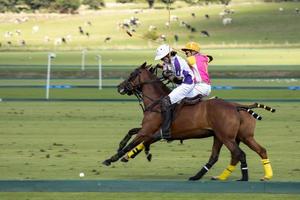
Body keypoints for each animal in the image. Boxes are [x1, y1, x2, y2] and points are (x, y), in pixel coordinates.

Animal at [102, 62, 274, 181]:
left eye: (132, 74)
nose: (119, 87)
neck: (156, 101)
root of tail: (236, 106)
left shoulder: (147, 131)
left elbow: (133, 143)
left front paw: (112, 159)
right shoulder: (149, 130)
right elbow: (131, 132)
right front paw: (125, 150)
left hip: (227, 137)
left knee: (239, 154)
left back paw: (243, 178)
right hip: (237, 136)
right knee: (253, 151)